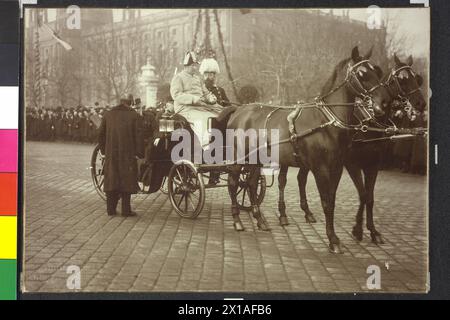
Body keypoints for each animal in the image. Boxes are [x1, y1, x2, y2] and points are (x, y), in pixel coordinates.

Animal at [229, 47, 390, 252]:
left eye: (376, 71)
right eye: (362, 74)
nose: (384, 102)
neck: (326, 122)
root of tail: (239, 111)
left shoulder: (338, 168)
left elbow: (334, 200)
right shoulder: (321, 168)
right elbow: (327, 203)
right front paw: (333, 239)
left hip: (255, 160)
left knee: (250, 183)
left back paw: (260, 220)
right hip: (239, 158)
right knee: (234, 183)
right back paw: (236, 220)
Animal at [292, 54, 426, 245]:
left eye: (416, 78)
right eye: (402, 79)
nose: (421, 103)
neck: (368, 122)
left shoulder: (373, 165)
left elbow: (369, 197)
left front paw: (372, 231)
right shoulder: (351, 164)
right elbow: (362, 194)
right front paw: (358, 228)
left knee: (301, 178)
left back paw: (307, 212)